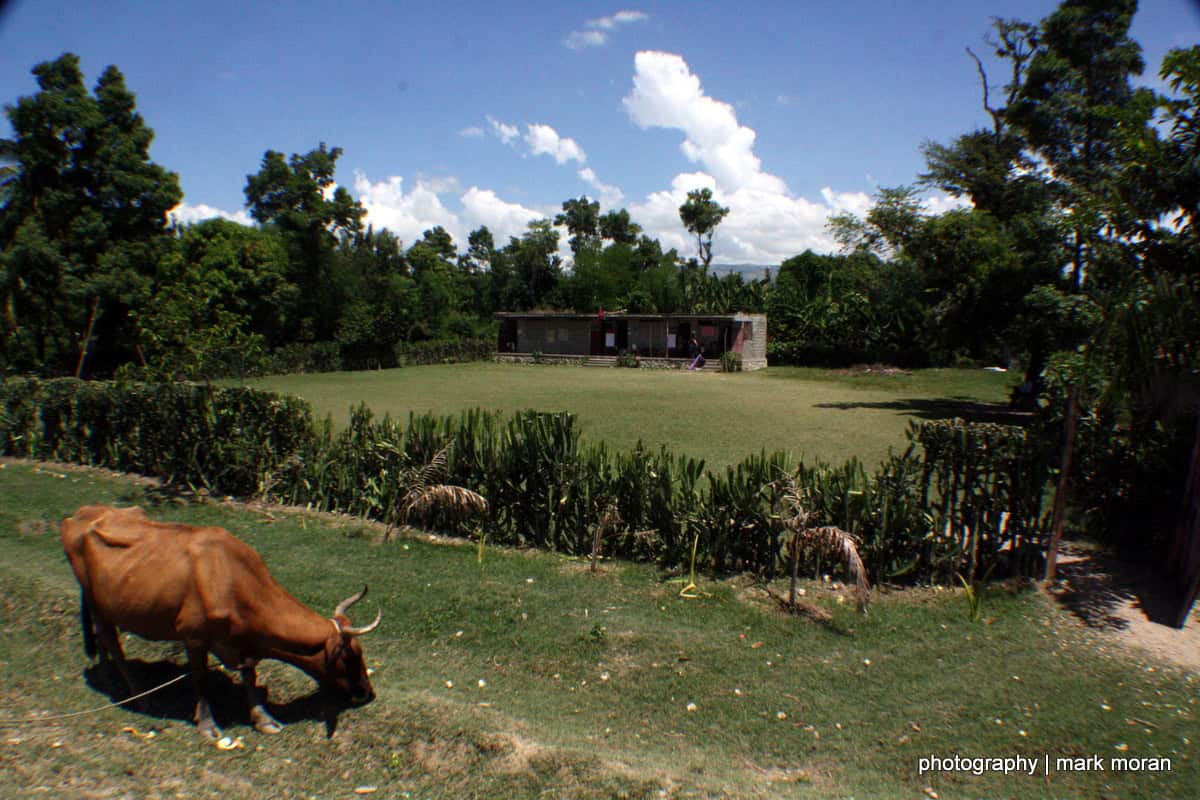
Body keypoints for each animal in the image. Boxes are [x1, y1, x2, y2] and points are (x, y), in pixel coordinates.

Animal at [60, 504, 381, 742]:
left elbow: (250, 675)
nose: (368, 692)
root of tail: (81, 515)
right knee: (112, 643)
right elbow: (201, 679)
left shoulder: (244, 644)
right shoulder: (194, 638)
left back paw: (107, 677)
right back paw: (138, 695)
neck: (234, 579)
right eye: (351, 655)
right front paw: (207, 724)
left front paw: (263, 718)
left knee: (103, 639)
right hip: (98, 604)